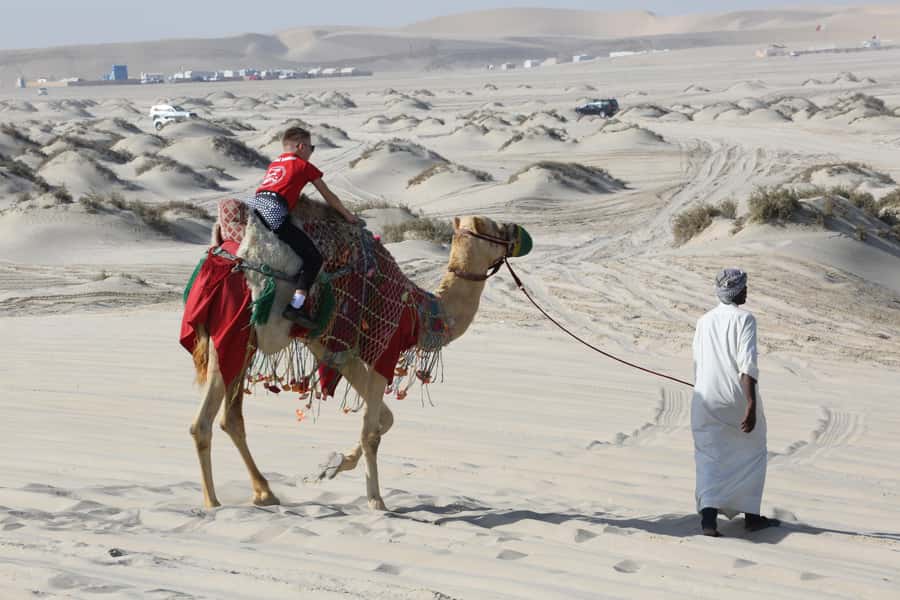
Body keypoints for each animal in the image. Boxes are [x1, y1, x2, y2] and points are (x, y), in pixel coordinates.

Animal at [186, 209, 532, 511]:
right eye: (493, 228)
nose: (518, 232)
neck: (417, 311)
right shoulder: (382, 350)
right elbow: (372, 432)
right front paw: (376, 501)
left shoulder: (337, 350)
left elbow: (384, 420)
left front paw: (333, 466)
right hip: (232, 333)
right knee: (202, 422)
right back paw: (212, 502)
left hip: (245, 343)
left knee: (231, 418)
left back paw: (264, 493)